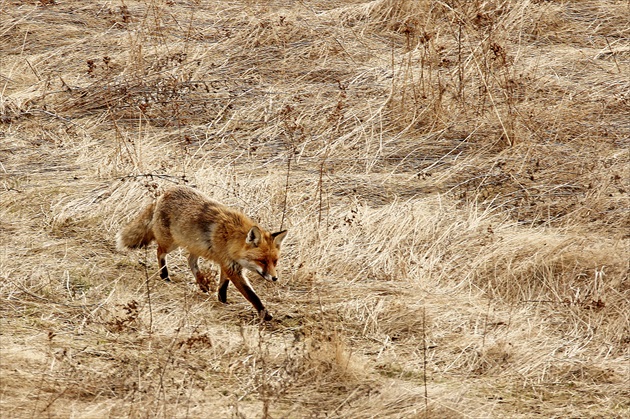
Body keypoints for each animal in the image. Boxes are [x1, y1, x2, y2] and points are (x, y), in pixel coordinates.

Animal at [116, 187, 288, 322]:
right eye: (262, 261)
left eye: (275, 261)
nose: (275, 278)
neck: (231, 239)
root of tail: (165, 193)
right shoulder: (231, 267)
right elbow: (252, 295)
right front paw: (265, 314)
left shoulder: (227, 264)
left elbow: (223, 286)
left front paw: (222, 301)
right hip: (171, 243)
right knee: (159, 253)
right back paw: (165, 275)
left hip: (194, 246)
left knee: (190, 260)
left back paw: (201, 282)